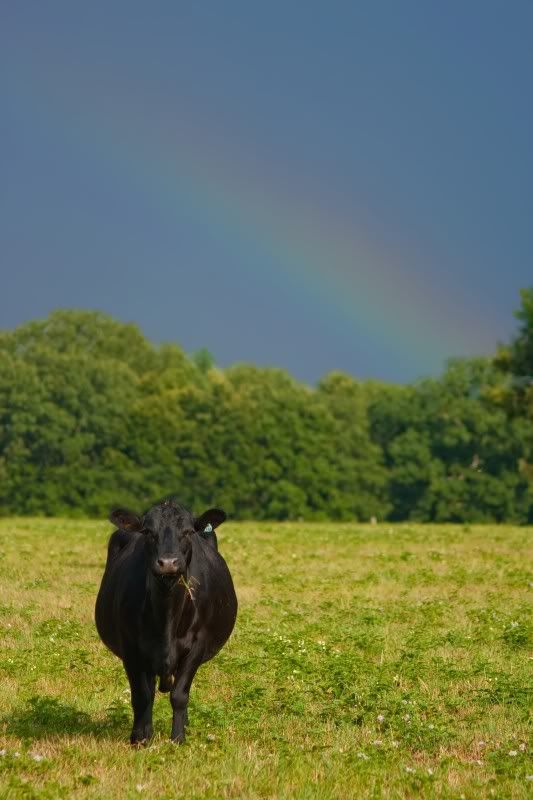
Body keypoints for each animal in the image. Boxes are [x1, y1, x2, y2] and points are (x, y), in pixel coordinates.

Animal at [95, 497, 237, 744]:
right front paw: (140, 738)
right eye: (148, 532)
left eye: (188, 532)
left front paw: (178, 738)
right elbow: (142, 696)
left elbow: (180, 694)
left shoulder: (197, 645)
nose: (169, 562)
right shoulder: (131, 647)